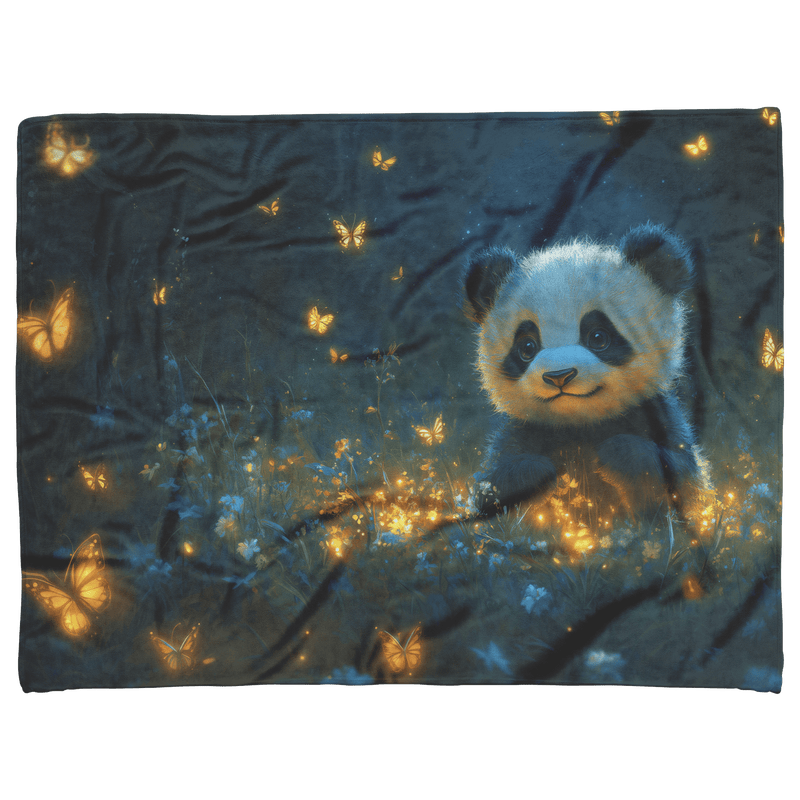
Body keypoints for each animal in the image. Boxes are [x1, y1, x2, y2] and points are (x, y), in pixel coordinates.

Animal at [463, 223, 708, 526]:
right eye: (527, 347)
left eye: (598, 337)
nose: (559, 376)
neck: (581, 423)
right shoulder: (524, 431)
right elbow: (487, 495)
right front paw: (535, 474)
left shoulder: (657, 415)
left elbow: (687, 481)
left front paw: (620, 454)